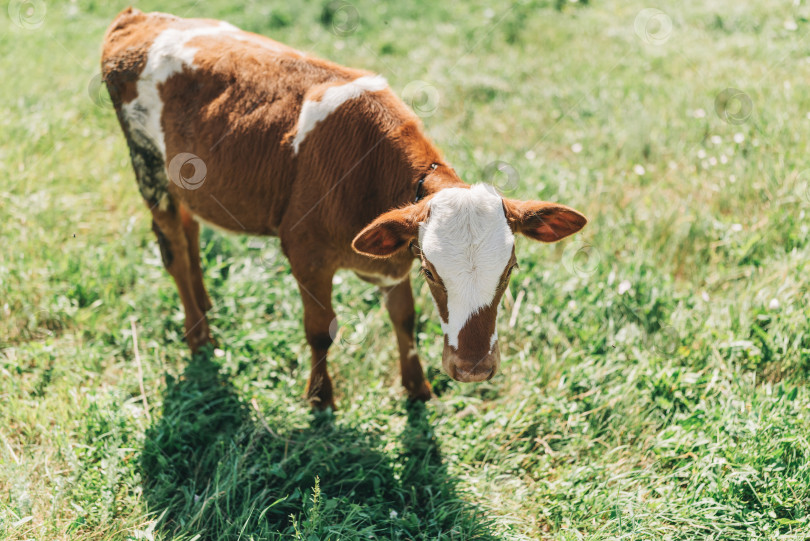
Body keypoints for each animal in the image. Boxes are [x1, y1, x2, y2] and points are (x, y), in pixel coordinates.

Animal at [101, 9, 584, 410]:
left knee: (190, 233)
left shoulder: (393, 253)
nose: (473, 368)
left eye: (509, 269)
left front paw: (417, 388)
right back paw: (200, 336)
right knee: (175, 252)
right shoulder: (306, 253)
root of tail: (139, 17)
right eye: (431, 271)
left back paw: (205, 306)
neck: (369, 171)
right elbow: (319, 330)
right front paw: (320, 397)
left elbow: (404, 318)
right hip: (147, 169)